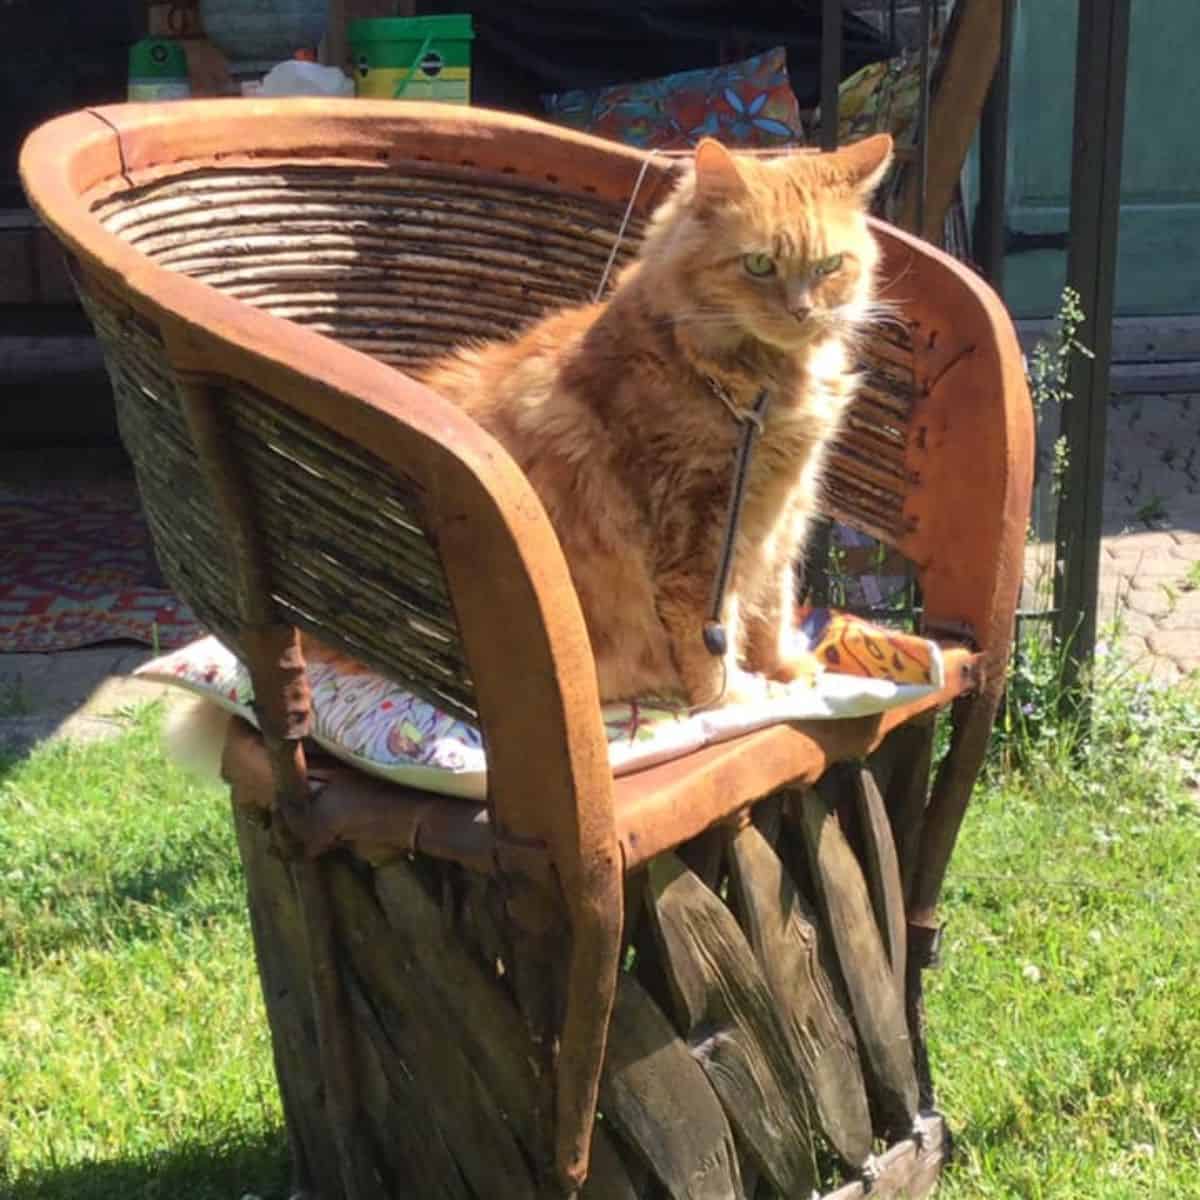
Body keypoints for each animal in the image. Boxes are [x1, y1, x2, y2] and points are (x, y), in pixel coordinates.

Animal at [420, 136, 892, 705]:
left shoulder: (783, 512)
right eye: (759, 264)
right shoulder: (696, 535)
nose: (802, 311)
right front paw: (733, 698)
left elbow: (771, 606)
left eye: (829, 266)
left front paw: (781, 667)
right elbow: (712, 637)